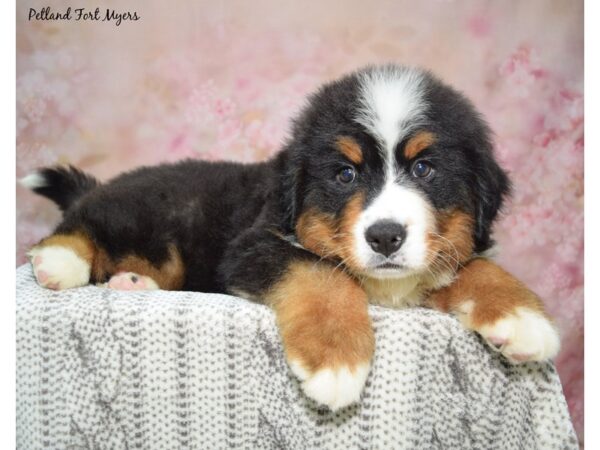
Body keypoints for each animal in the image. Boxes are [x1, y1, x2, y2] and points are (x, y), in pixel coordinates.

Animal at [22, 64, 556, 412]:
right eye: (344, 174)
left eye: (424, 169)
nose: (385, 237)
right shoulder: (252, 245)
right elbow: (319, 271)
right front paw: (336, 359)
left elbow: (476, 265)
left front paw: (522, 317)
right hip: (146, 210)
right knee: (84, 226)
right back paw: (59, 262)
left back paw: (132, 283)